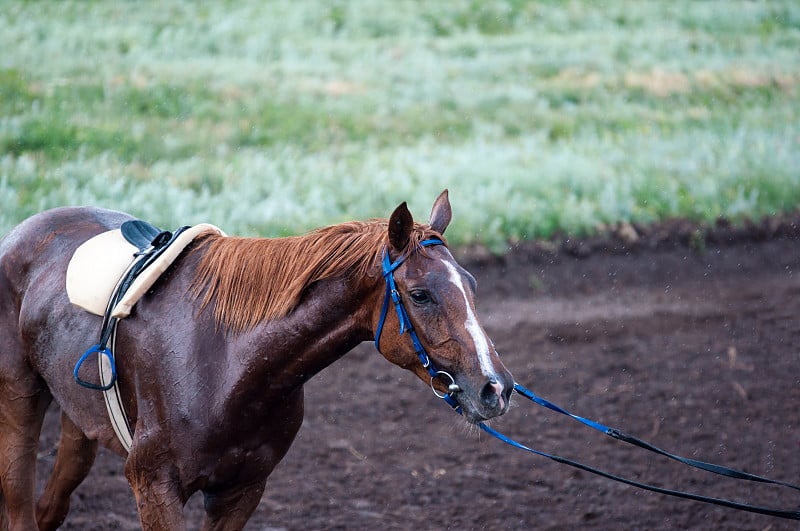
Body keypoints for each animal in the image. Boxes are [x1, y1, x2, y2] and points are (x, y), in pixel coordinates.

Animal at [0, 191, 512, 531]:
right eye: (421, 294)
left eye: (471, 283)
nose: (496, 387)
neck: (228, 362)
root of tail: (24, 231)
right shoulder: (154, 485)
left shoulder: (241, 491)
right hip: (20, 401)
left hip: (80, 420)